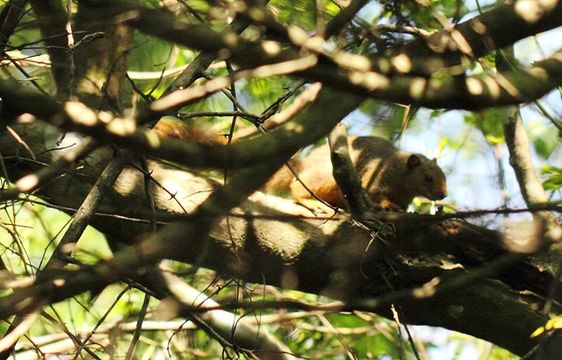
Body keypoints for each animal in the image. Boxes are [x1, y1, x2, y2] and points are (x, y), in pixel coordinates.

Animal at [286, 136, 444, 210]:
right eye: (428, 178)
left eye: (444, 176)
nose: (443, 195)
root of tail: (304, 165)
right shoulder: (375, 176)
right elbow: (375, 195)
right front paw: (389, 205)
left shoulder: (405, 200)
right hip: (326, 178)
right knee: (296, 187)